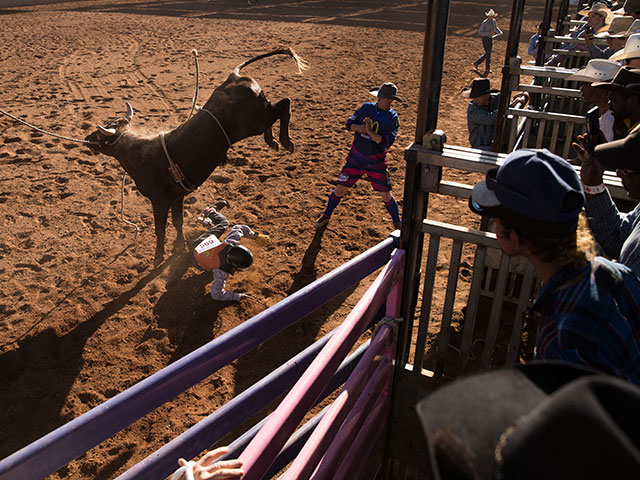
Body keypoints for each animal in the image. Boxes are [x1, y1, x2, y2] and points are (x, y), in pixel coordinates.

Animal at [84, 46, 308, 266]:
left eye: (100, 136)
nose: (87, 139)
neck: (137, 153)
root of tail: (234, 76)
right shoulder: (177, 196)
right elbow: (178, 221)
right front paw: (178, 245)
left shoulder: (159, 201)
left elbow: (160, 228)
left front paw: (158, 256)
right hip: (260, 116)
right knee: (277, 111)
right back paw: (272, 141)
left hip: (255, 120)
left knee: (284, 105)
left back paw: (285, 141)